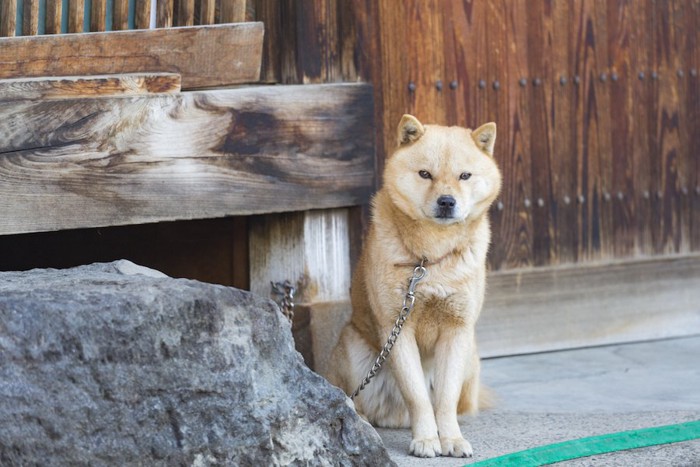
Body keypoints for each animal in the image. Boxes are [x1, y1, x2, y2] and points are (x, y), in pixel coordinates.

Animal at [326, 115, 500, 458]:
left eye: (464, 175)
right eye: (425, 174)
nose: (447, 201)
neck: (429, 259)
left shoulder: (456, 329)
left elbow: (444, 399)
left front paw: (451, 439)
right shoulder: (397, 328)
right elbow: (418, 397)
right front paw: (426, 440)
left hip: (471, 353)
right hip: (354, 350)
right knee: (358, 400)